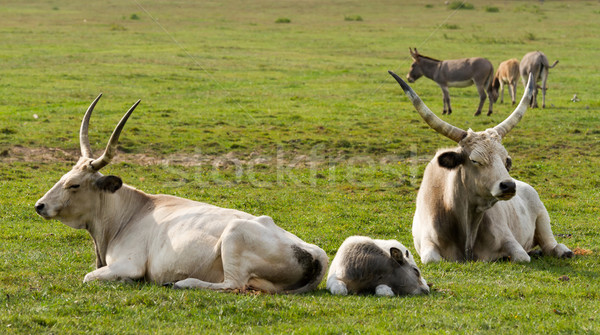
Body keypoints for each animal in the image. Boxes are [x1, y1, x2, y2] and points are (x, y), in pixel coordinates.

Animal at [35, 93, 328, 292]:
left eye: (74, 185)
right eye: (63, 177)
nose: (40, 206)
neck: (131, 212)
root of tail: (314, 252)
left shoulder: (128, 264)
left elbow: (89, 277)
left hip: (234, 236)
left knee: (232, 284)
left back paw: (181, 282)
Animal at [390, 71, 572, 264]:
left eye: (506, 160)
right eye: (475, 160)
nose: (508, 185)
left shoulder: (510, 239)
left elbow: (521, 256)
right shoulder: (427, 242)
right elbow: (432, 259)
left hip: (542, 216)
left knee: (550, 243)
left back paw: (563, 251)